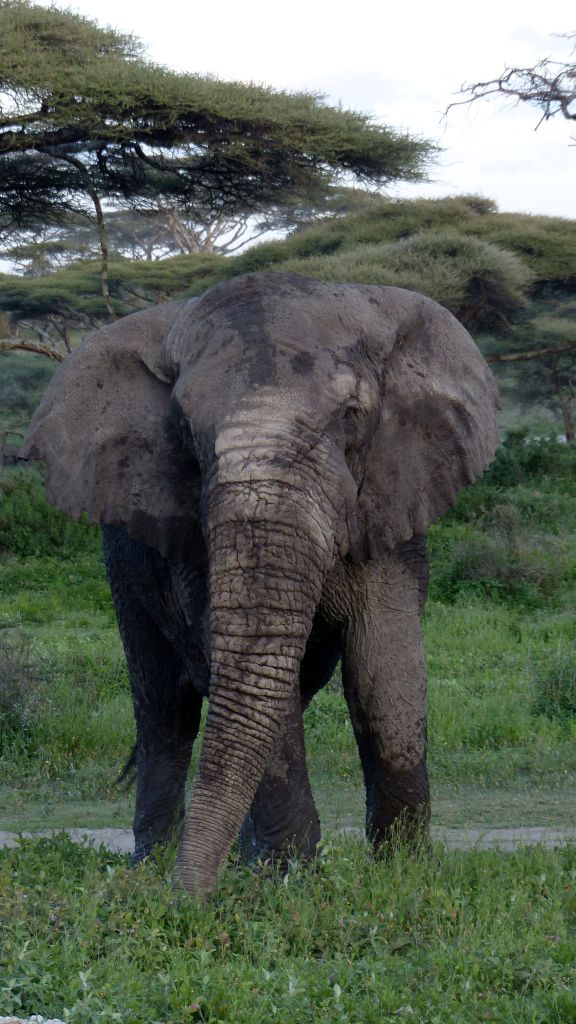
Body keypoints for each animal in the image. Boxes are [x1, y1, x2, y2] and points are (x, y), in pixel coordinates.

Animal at [20, 271, 499, 896]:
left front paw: (404, 873)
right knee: (165, 711)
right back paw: (155, 867)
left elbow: (384, 664)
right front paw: (287, 882)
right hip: (123, 565)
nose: (187, 903)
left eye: (351, 414)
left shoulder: (391, 499)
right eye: (183, 429)